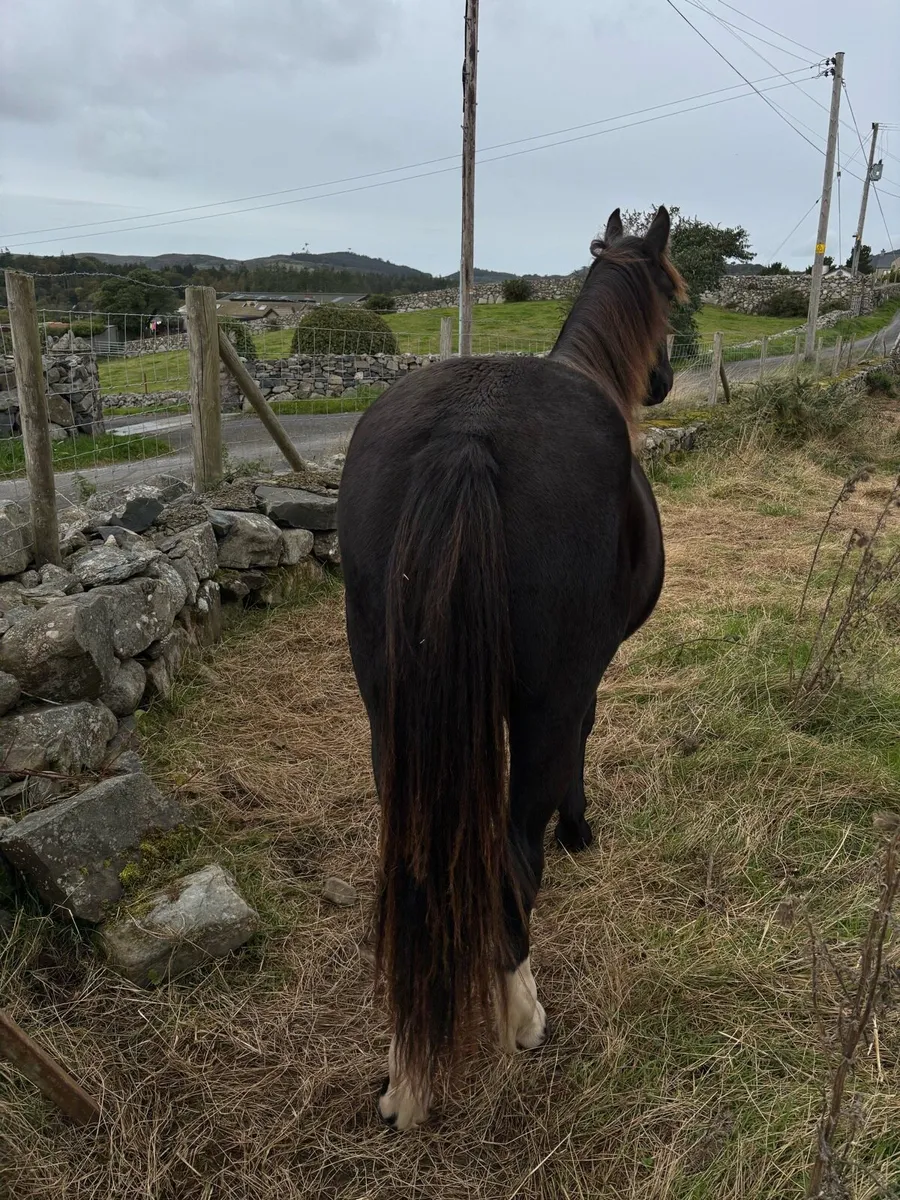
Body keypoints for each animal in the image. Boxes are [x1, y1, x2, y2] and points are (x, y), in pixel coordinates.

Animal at [337, 206, 686, 1130]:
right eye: (674, 293)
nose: (666, 378)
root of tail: (465, 434)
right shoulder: (583, 680)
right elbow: (583, 746)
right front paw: (580, 828)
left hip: (390, 715)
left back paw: (406, 1076)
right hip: (543, 706)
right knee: (511, 858)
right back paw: (523, 1014)